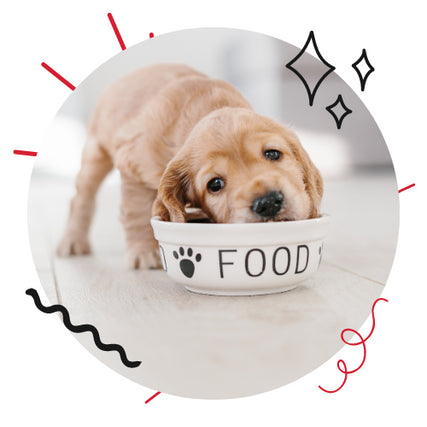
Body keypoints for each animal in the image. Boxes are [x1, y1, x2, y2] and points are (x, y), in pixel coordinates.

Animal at [57, 63, 324, 270]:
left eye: (272, 153)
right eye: (215, 184)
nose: (268, 203)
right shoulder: (132, 166)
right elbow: (136, 212)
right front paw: (143, 252)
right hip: (95, 153)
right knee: (81, 198)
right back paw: (72, 241)